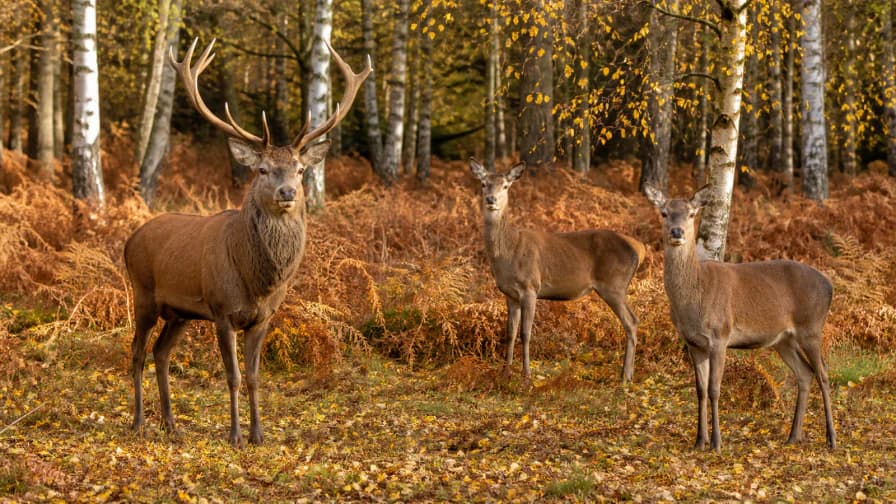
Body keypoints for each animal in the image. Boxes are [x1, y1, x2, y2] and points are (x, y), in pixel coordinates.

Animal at [124, 38, 370, 447]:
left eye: (300, 169)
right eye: (262, 169)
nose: (287, 192)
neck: (258, 281)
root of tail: (129, 240)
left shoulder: (263, 317)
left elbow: (254, 377)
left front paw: (258, 433)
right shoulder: (222, 310)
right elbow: (234, 376)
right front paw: (236, 435)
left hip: (180, 313)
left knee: (161, 353)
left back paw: (171, 423)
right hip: (143, 294)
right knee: (137, 353)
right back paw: (139, 422)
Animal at [469, 159, 646, 382]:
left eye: (506, 186)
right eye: (484, 184)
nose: (491, 199)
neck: (507, 253)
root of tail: (640, 248)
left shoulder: (530, 287)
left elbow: (525, 333)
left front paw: (526, 376)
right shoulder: (510, 294)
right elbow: (510, 333)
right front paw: (505, 373)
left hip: (614, 285)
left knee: (632, 321)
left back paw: (625, 377)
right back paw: (626, 374)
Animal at [644, 184, 836, 451]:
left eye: (692, 214)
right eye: (664, 212)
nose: (677, 231)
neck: (694, 299)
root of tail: (830, 286)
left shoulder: (720, 335)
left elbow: (714, 389)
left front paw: (716, 442)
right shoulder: (693, 343)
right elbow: (700, 390)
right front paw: (699, 441)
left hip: (811, 327)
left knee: (824, 373)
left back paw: (831, 438)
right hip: (783, 340)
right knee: (805, 373)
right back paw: (793, 436)